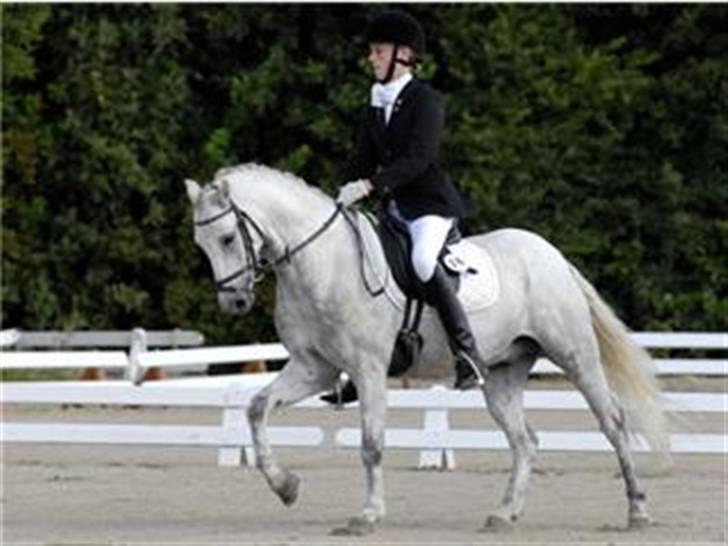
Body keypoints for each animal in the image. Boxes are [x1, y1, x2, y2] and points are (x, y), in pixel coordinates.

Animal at [185, 163, 668, 535]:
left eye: (227, 238)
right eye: (201, 244)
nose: (234, 303)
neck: (321, 264)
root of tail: (551, 254)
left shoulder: (368, 368)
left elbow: (372, 444)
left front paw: (368, 516)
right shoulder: (313, 369)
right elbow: (257, 409)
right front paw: (285, 487)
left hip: (574, 355)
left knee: (613, 423)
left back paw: (638, 510)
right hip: (502, 372)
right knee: (524, 440)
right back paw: (504, 514)